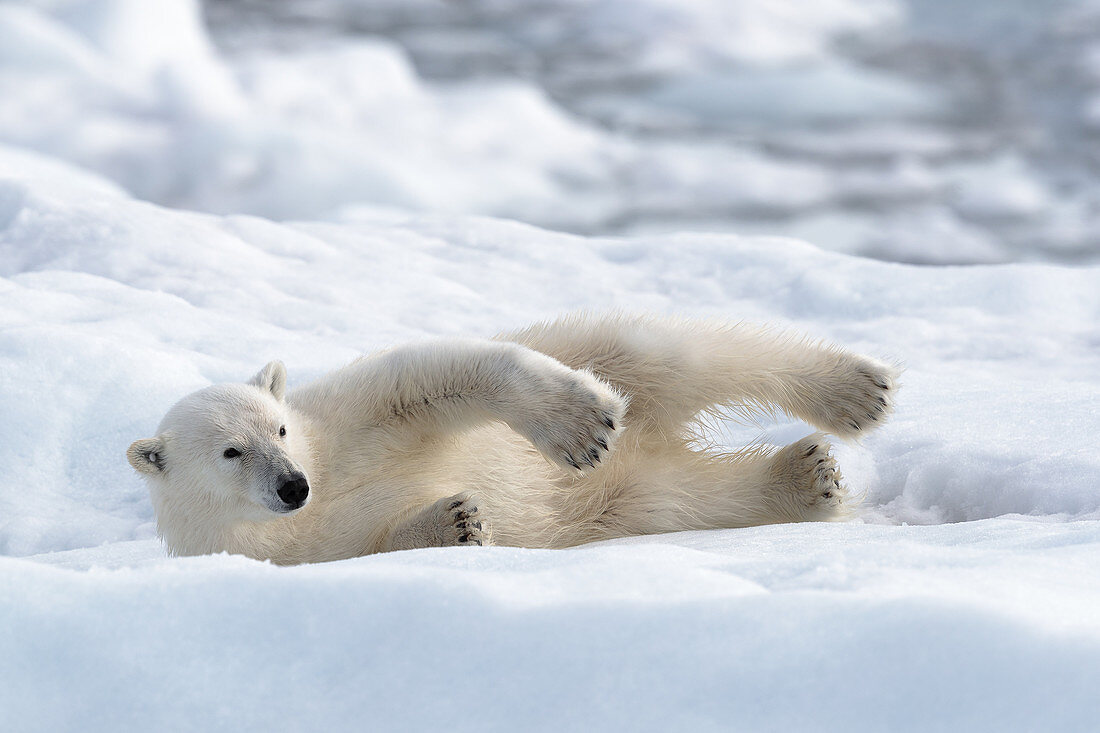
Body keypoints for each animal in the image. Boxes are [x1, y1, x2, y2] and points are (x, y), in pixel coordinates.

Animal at [128, 310, 902, 561]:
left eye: (280, 427)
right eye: (231, 451)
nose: (294, 484)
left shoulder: (346, 418)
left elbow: (432, 378)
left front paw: (582, 426)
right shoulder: (276, 548)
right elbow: (372, 539)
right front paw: (459, 519)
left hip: (596, 348)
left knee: (672, 354)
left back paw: (855, 391)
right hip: (622, 504)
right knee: (682, 499)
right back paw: (806, 476)